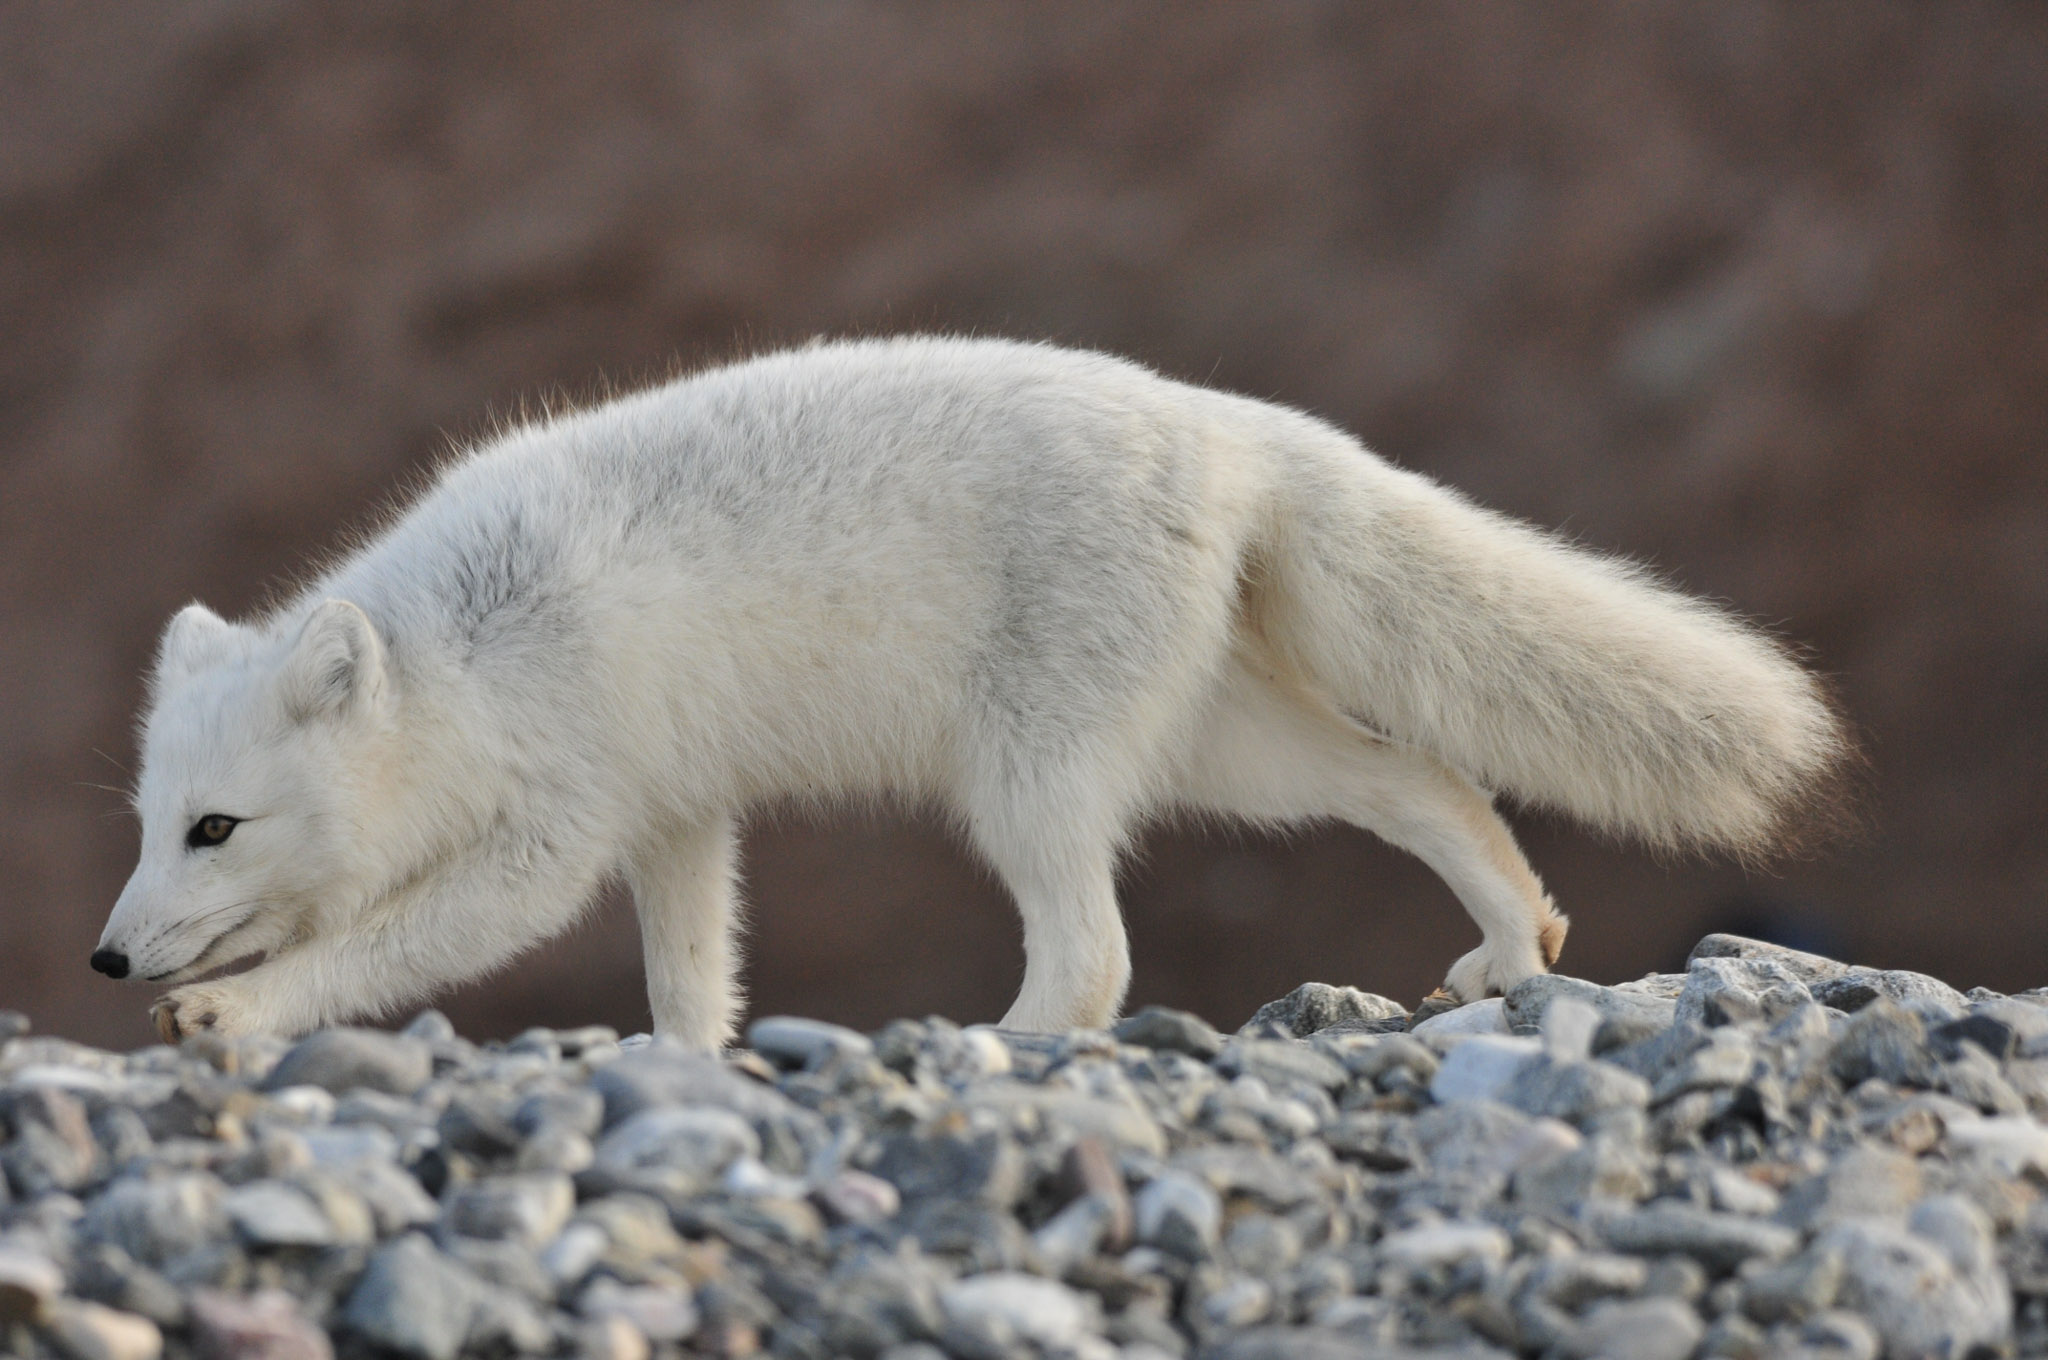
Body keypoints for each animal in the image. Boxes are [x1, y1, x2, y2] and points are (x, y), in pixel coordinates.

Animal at [92, 333, 1859, 1044]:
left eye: (213, 829)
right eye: (145, 822)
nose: (105, 958)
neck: (470, 655)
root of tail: (1229, 421)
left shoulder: (558, 835)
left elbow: (406, 944)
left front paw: (235, 1013)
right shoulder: (675, 821)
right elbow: (690, 978)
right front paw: (696, 1069)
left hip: (1028, 774)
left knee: (1096, 960)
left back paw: (993, 1044)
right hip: (1226, 752)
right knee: (1420, 778)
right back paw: (1512, 946)